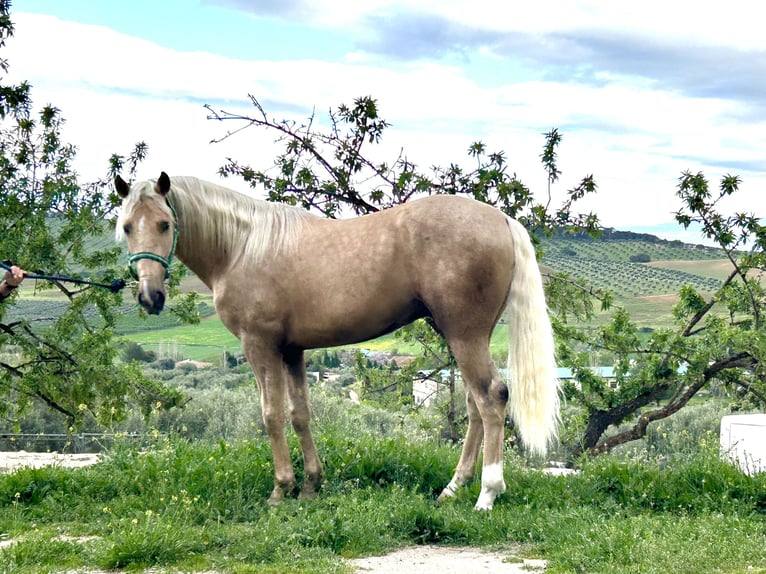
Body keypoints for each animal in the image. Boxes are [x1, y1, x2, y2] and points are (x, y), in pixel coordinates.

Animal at [114, 172, 560, 512]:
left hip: (464, 335)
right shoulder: (292, 351)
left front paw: (281, 489)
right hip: (465, 337)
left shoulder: (260, 346)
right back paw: (453, 487)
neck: (242, 246)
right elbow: (300, 414)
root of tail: (501, 218)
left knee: (492, 397)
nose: (150, 298)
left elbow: (271, 415)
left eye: (165, 224)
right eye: (127, 227)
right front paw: (311, 485)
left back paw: (487, 494)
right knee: (474, 405)